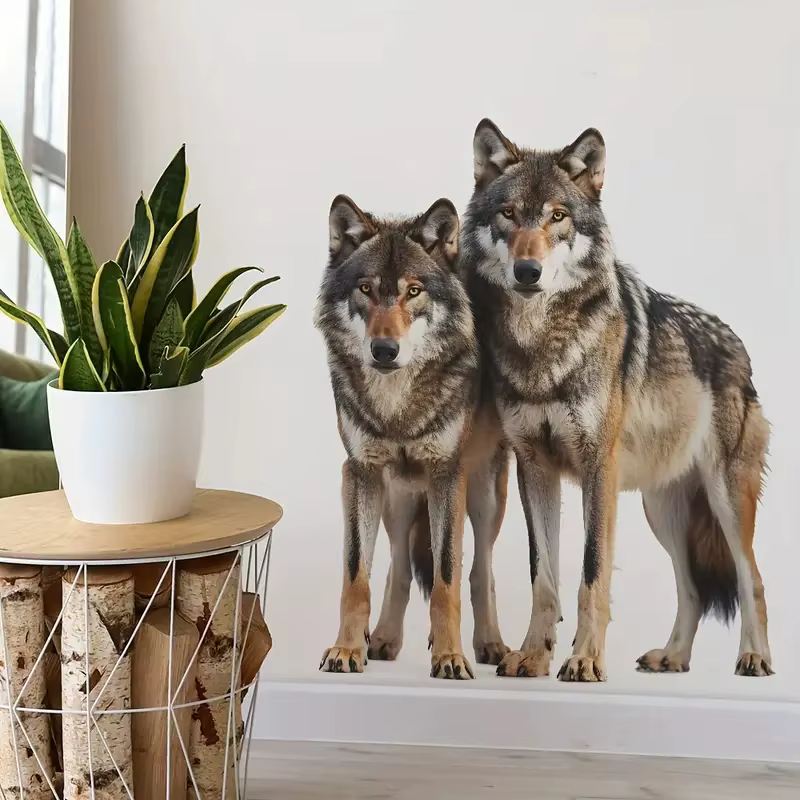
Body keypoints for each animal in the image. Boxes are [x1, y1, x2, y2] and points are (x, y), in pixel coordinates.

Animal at [314, 194, 510, 678]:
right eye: (366, 289)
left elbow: (446, 581)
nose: (385, 350)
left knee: (480, 571)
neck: (397, 408)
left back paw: (490, 644)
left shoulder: (446, 476)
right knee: (398, 566)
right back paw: (383, 639)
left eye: (414, 291)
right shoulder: (359, 473)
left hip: (483, 497)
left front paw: (451, 656)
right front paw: (346, 649)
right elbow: (356, 578)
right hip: (397, 498)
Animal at [460, 119, 773, 681]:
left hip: (724, 499)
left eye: (558, 216)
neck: (542, 347)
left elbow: (592, 574)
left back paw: (754, 657)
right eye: (509, 214)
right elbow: (544, 577)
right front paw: (533, 655)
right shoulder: (533, 467)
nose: (527, 271)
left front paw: (584, 659)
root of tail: (737, 345)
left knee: (751, 577)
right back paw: (672, 657)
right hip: (662, 511)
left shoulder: (597, 469)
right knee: (692, 589)